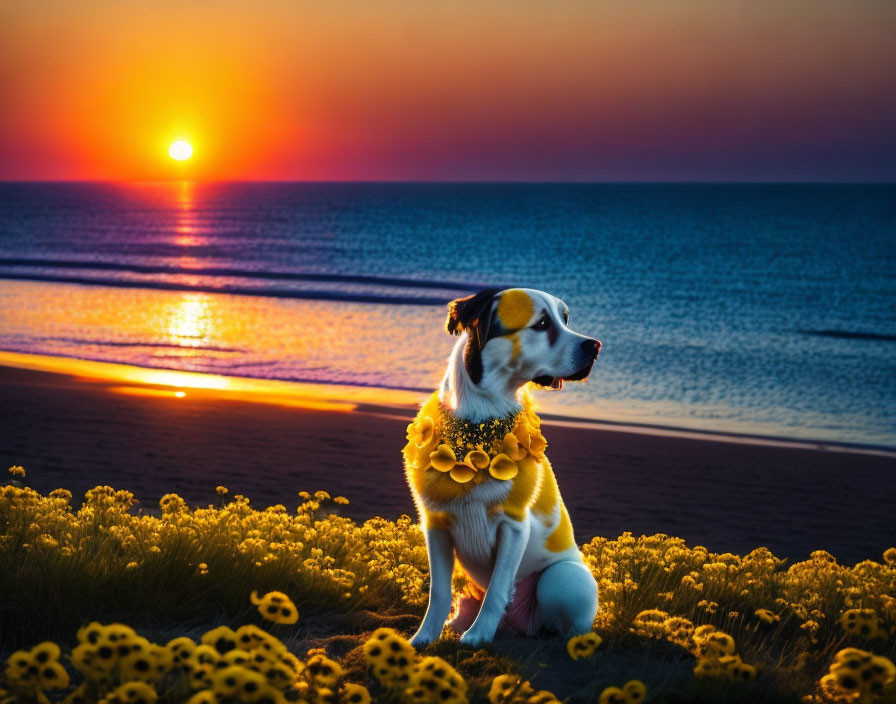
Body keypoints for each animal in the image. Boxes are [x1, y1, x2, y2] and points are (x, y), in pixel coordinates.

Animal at [406, 286, 600, 644]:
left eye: (565, 319)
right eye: (541, 323)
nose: (595, 345)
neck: (477, 427)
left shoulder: (513, 526)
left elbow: (497, 589)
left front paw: (479, 634)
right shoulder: (436, 526)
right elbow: (438, 592)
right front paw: (424, 637)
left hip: (562, 578)